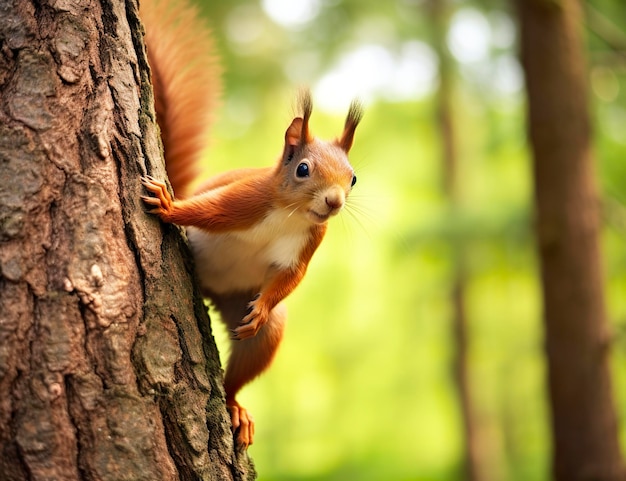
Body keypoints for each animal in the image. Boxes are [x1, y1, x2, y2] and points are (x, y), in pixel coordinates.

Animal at [138, 0, 358, 446]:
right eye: (303, 169)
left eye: (353, 178)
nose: (333, 202)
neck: (291, 216)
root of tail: (212, 292)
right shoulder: (247, 198)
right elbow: (208, 210)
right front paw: (170, 208)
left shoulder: (311, 240)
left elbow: (292, 275)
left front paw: (264, 308)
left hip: (246, 310)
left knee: (251, 352)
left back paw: (235, 405)